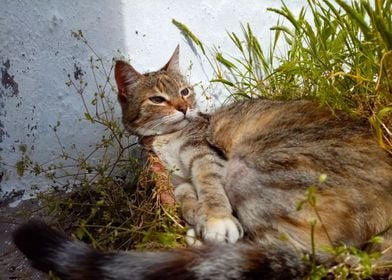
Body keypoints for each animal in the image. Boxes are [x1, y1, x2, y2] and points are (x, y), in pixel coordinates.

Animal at [12, 46, 392, 278]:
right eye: (157, 99)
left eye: (184, 91)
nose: (183, 108)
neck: (166, 140)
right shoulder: (176, 181)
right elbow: (188, 199)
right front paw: (200, 220)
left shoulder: (206, 156)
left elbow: (209, 189)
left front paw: (216, 220)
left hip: (250, 173)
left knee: (285, 248)